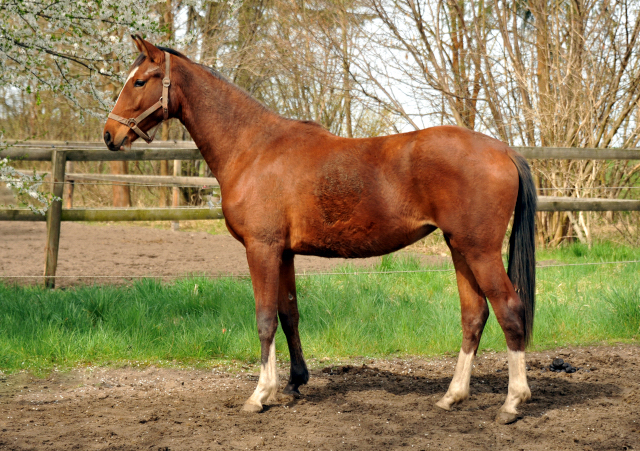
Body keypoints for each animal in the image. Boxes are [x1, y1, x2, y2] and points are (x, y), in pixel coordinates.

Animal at [104, 35, 536, 424]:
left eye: (139, 81)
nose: (110, 134)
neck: (253, 148)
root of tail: (503, 149)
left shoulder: (261, 248)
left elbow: (265, 319)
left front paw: (260, 394)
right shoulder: (284, 253)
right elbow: (289, 314)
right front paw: (293, 383)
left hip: (479, 251)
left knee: (510, 311)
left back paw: (512, 403)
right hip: (459, 248)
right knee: (474, 315)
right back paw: (453, 396)